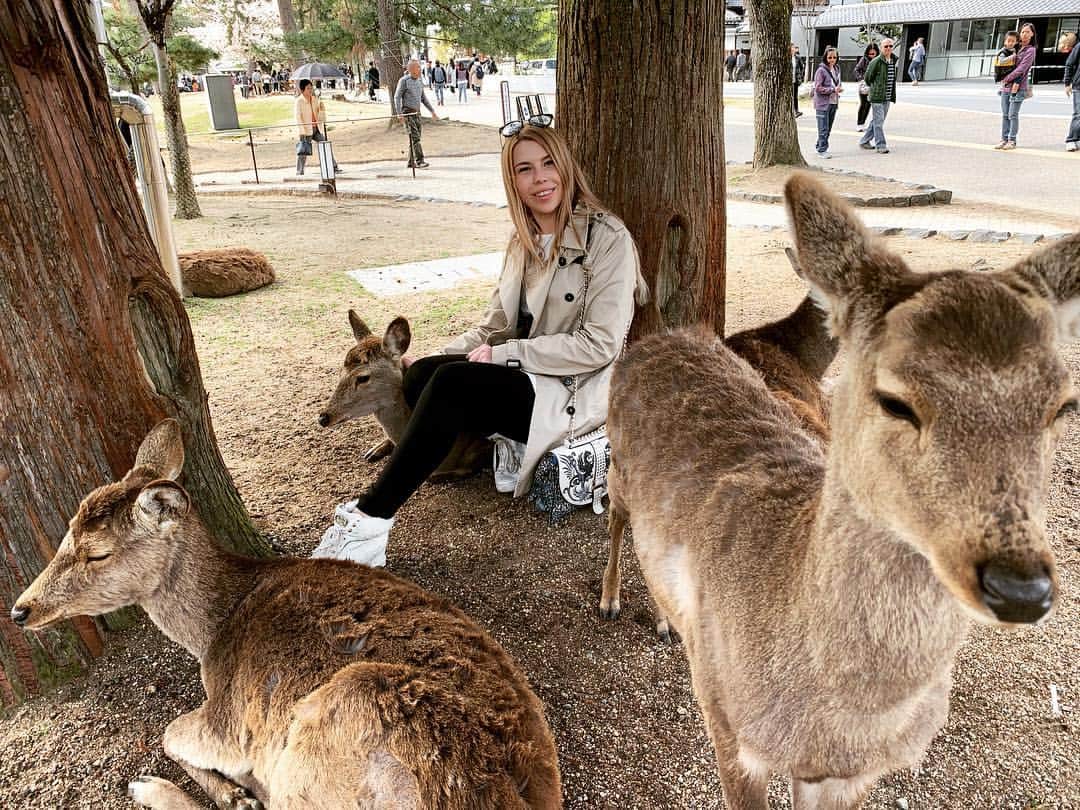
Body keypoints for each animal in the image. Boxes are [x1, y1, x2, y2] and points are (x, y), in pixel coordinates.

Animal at [11, 419, 562, 810]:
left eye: (97, 553)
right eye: (66, 530)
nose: (20, 609)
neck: (211, 631)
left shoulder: (229, 719)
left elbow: (171, 732)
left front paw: (229, 789)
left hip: (330, 729)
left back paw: (166, 788)